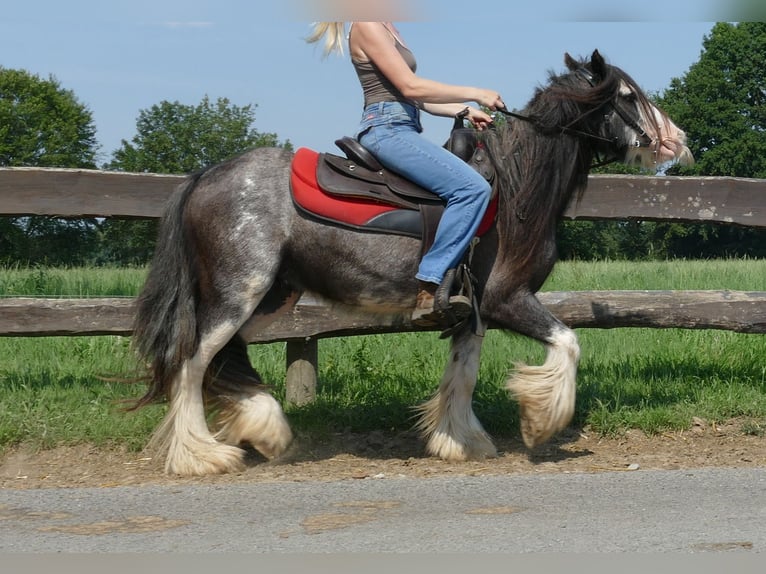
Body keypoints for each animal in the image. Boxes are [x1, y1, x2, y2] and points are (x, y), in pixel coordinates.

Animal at [130, 50, 696, 476]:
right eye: (628, 97)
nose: (678, 141)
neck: (513, 190)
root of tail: (205, 176)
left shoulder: (472, 312)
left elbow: (463, 374)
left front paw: (460, 442)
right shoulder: (506, 299)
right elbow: (568, 343)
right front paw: (541, 424)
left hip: (268, 297)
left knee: (224, 358)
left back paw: (265, 429)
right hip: (235, 294)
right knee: (191, 361)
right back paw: (200, 455)